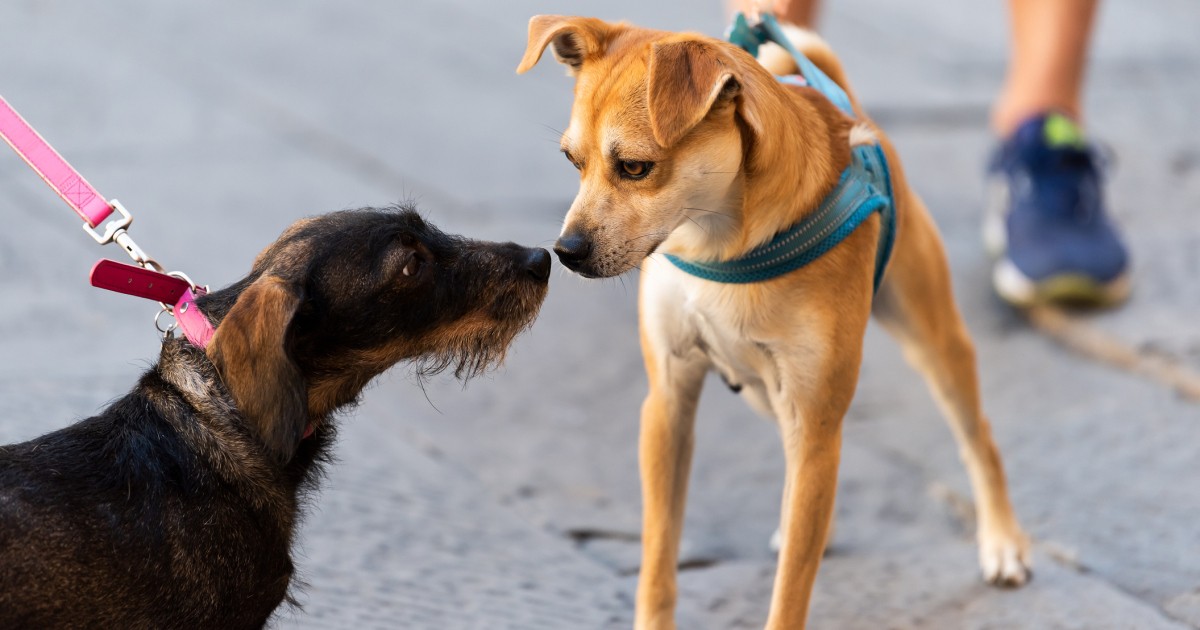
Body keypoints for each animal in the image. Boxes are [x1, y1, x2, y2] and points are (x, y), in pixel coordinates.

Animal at [516, 14, 1032, 628]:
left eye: (635, 167)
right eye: (573, 162)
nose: (565, 251)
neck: (717, 240)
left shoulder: (814, 420)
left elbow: (789, 592)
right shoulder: (668, 402)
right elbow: (659, 559)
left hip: (929, 340)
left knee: (977, 438)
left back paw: (1002, 540)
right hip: (770, 393)